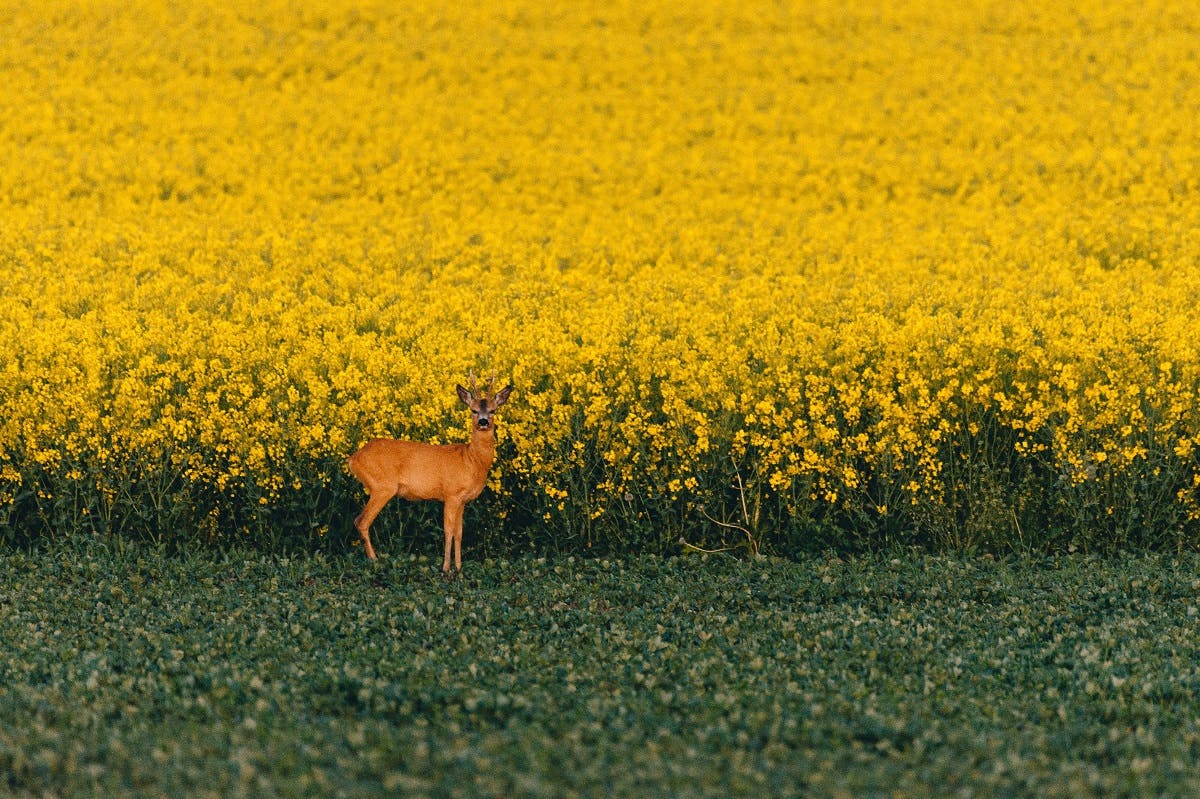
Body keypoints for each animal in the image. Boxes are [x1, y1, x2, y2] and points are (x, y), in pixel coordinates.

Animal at [350, 374, 513, 573]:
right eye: (473, 410)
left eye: (493, 410)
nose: (483, 422)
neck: (471, 461)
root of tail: (353, 458)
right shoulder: (451, 494)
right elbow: (448, 531)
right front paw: (446, 568)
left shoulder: (462, 500)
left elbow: (459, 532)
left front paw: (459, 567)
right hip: (382, 486)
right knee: (361, 521)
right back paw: (374, 560)